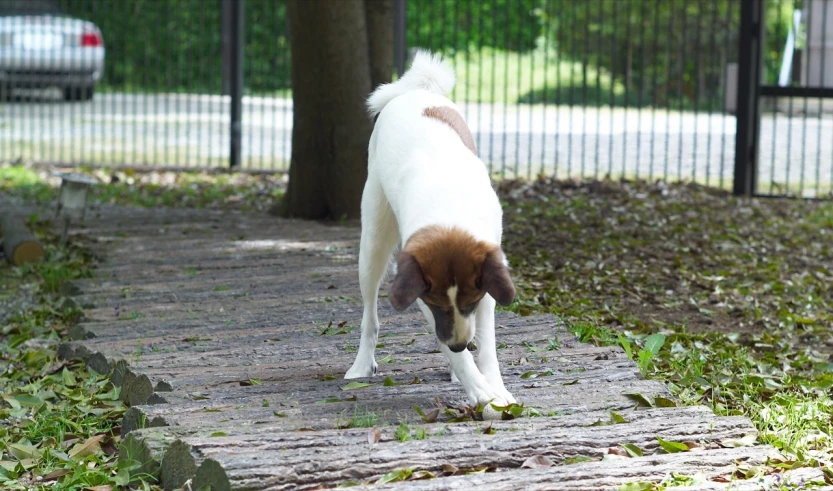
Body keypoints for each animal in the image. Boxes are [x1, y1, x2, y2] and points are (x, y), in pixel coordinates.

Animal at [342, 50, 512, 408]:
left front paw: (495, 387)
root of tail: (416, 90)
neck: (450, 210)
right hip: (372, 246)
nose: (460, 344)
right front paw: (479, 388)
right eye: (437, 304)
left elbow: (487, 344)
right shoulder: (419, 288)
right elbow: (453, 348)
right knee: (369, 317)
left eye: (471, 302)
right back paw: (362, 364)